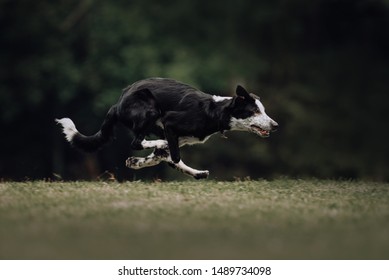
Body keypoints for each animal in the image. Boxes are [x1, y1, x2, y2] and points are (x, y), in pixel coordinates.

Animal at [56, 78, 278, 179]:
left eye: (263, 110)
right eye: (254, 111)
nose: (275, 126)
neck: (215, 111)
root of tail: (117, 104)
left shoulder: (176, 136)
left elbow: (163, 157)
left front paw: (136, 163)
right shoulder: (171, 124)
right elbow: (174, 156)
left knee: (158, 151)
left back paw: (198, 173)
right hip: (150, 110)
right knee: (138, 142)